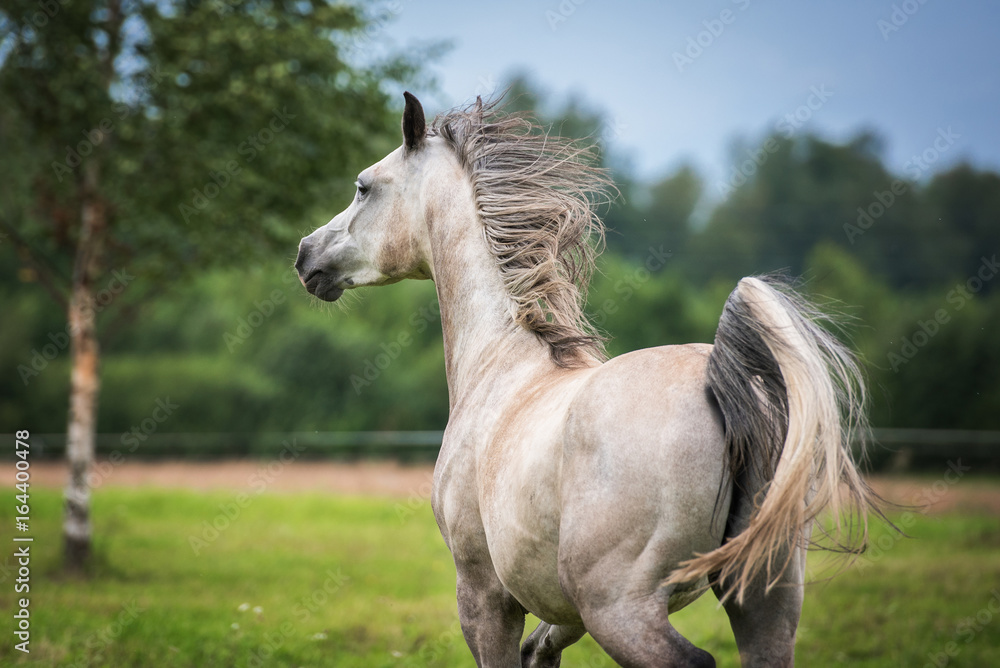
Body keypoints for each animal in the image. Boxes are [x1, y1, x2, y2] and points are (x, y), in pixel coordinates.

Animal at [295, 92, 881, 667]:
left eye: (363, 187)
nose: (305, 254)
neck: (502, 365)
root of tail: (723, 385)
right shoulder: (562, 611)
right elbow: (540, 652)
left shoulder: (483, 596)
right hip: (762, 595)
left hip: (619, 607)